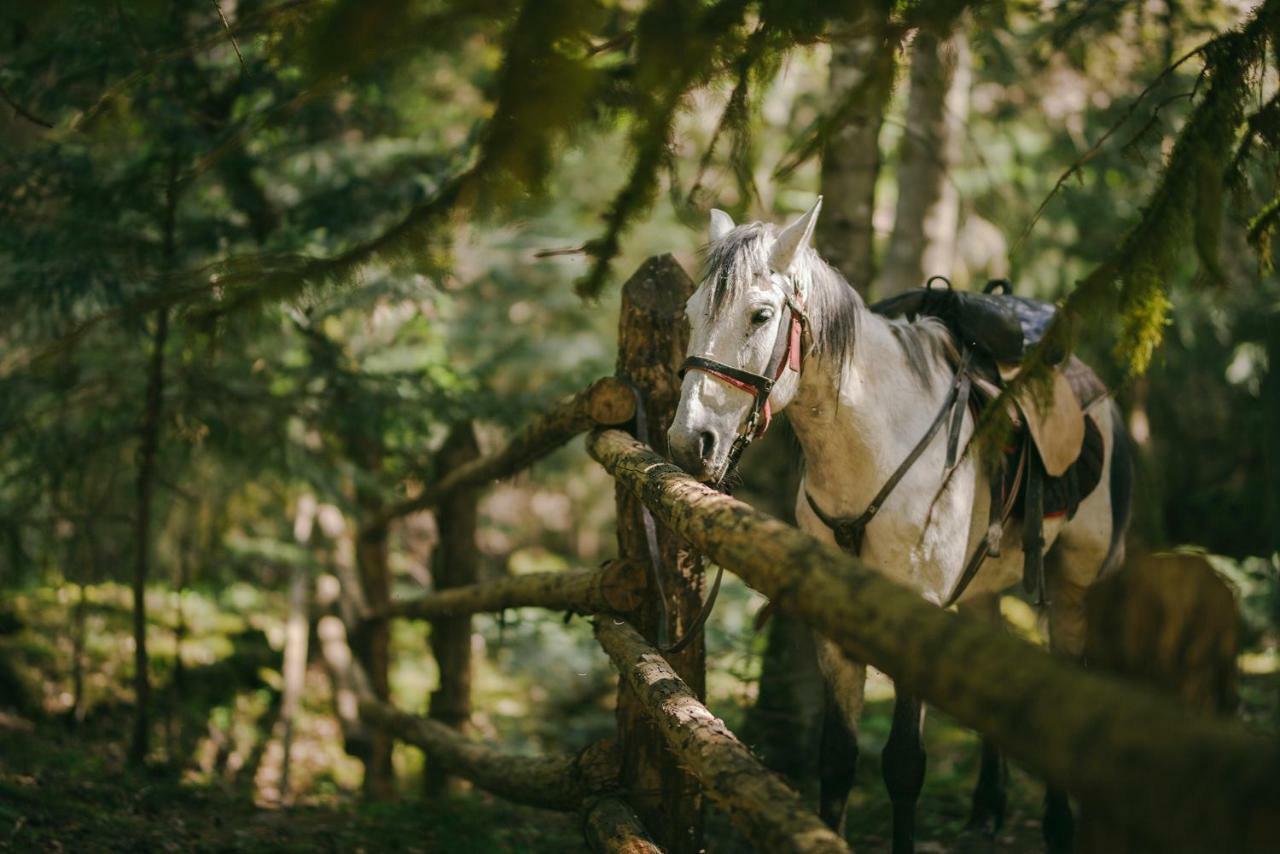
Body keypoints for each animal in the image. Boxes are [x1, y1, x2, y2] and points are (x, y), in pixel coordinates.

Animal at [670, 197, 1131, 850]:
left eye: (760, 315)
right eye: (689, 313)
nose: (690, 443)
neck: (874, 443)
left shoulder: (918, 609)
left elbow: (904, 766)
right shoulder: (834, 625)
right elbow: (837, 757)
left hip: (1073, 587)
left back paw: (1061, 827)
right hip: (982, 591)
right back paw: (987, 808)